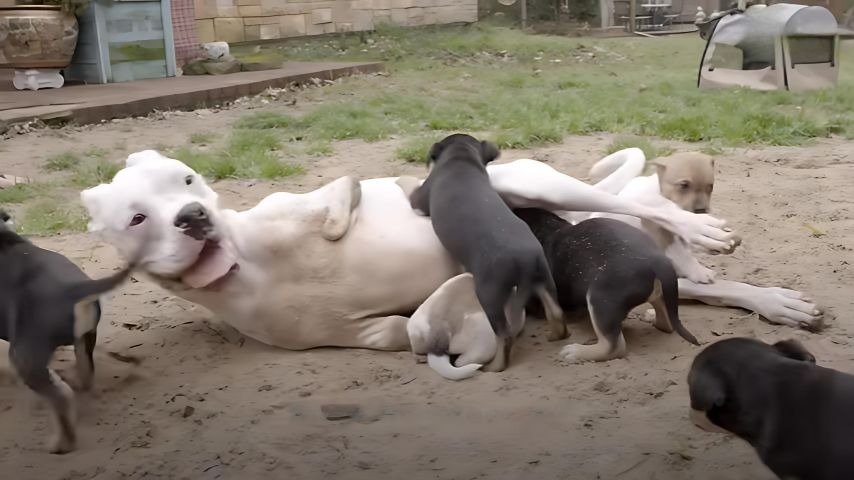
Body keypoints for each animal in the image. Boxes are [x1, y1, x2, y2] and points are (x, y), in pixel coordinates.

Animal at [0, 210, 142, 454]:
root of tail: (73, 288)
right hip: (84, 339)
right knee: (85, 374)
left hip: (23, 355)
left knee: (61, 397)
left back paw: (61, 443)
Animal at [406, 133, 564, 374]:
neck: (460, 158)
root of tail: (523, 259)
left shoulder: (420, 199)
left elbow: (410, 192)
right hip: (543, 276)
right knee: (555, 310)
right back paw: (557, 334)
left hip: (489, 294)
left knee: (504, 335)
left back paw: (495, 367)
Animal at [512, 208, 700, 362]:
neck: (547, 228)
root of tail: (658, 260)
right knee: (665, 320)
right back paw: (650, 315)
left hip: (600, 299)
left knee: (613, 346)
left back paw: (576, 352)